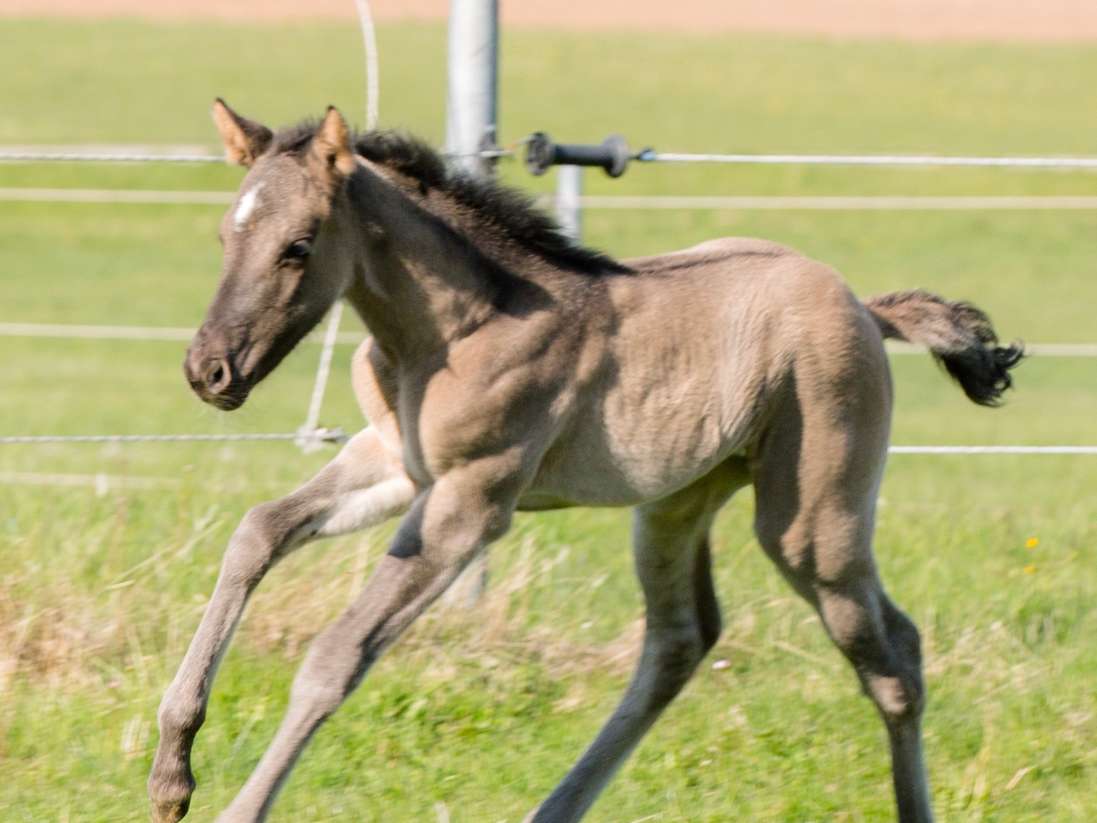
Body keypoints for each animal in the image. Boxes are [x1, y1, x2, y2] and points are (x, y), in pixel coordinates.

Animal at [148, 100, 1022, 823]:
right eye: (226, 235)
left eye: (297, 247)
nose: (208, 370)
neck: (458, 327)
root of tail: (864, 309)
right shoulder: (396, 463)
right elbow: (258, 531)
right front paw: (171, 774)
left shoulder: (470, 501)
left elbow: (337, 653)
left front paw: (231, 806)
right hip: (676, 501)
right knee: (680, 639)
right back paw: (552, 809)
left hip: (811, 522)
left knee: (893, 652)